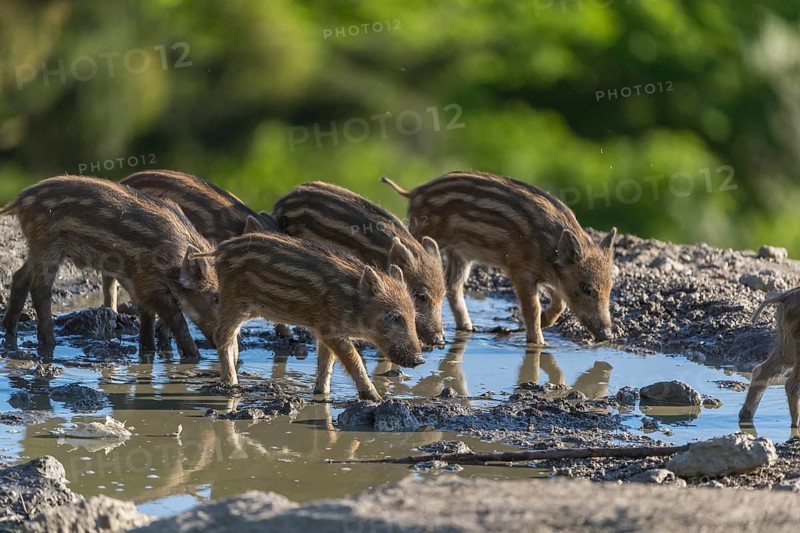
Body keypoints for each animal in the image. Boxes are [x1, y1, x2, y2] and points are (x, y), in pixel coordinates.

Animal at [0, 175, 219, 359]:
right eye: (216, 298)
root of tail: (21, 199)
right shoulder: (148, 284)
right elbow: (177, 321)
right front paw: (195, 357)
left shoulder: (139, 284)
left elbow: (147, 318)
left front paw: (147, 351)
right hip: (48, 245)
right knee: (40, 290)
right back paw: (49, 343)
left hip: (39, 247)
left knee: (20, 277)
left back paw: (9, 330)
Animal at [193, 232, 423, 401]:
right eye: (394, 317)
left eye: (414, 316)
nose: (420, 359)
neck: (352, 301)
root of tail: (220, 249)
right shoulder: (330, 330)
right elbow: (353, 359)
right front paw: (376, 398)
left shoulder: (323, 331)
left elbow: (326, 363)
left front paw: (322, 394)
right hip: (234, 301)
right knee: (221, 335)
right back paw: (231, 383)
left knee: (231, 338)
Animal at [382, 171, 616, 345]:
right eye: (586, 288)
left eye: (610, 288)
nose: (607, 335)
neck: (551, 249)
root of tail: (414, 192)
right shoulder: (520, 270)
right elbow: (532, 307)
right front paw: (539, 343)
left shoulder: (548, 276)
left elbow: (559, 304)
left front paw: (544, 322)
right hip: (424, 233)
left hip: (460, 254)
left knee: (453, 285)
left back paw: (468, 327)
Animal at [739, 287, 800, 427]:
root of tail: (786, 296)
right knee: (791, 386)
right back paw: (796, 425)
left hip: (787, 343)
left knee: (761, 370)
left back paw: (745, 415)